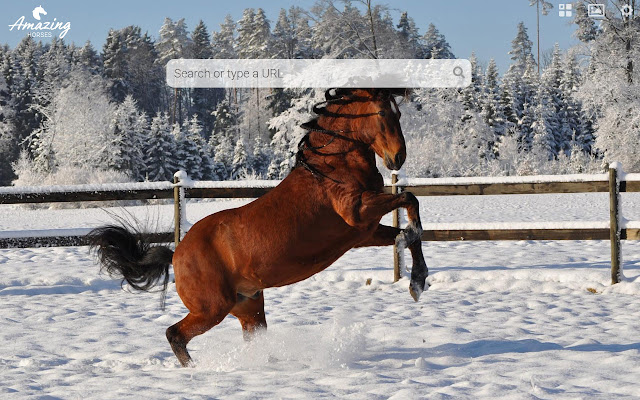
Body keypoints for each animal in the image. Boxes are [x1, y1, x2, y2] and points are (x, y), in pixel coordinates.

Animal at [89, 88, 430, 368]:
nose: (398, 157)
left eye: (398, 114)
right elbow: (409, 199)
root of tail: (176, 254)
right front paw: (416, 271)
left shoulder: (364, 232)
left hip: (248, 306)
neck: (332, 168)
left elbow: (407, 235)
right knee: (175, 334)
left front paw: (417, 282)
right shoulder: (357, 213)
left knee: (249, 338)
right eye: (383, 113)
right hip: (212, 309)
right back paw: (197, 371)